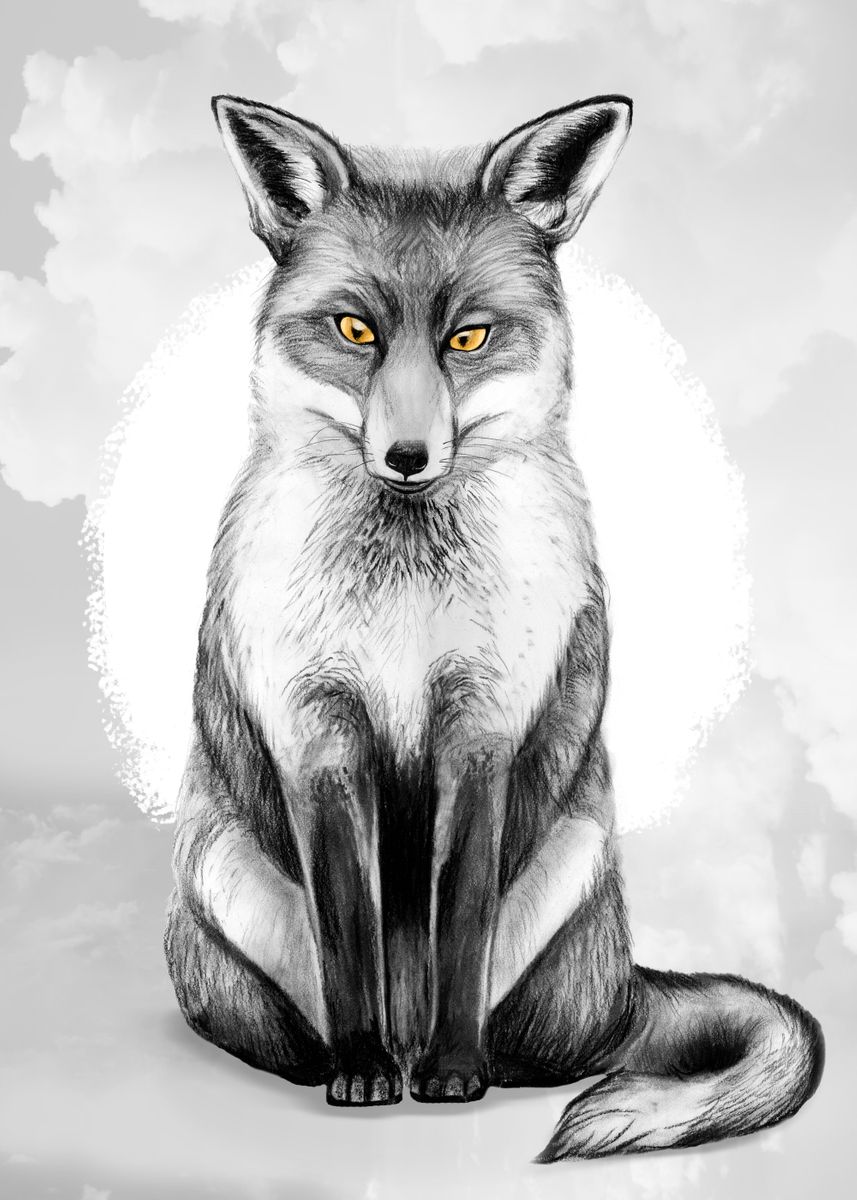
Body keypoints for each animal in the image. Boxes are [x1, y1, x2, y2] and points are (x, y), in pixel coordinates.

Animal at [164, 92, 824, 1160]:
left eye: (468, 338)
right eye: (354, 328)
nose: (406, 456)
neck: (404, 607)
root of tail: (622, 990)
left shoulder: (481, 732)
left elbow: (461, 918)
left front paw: (452, 1072)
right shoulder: (318, 736)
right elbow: (347, 931)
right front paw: (359, 1070)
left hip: (572, 869)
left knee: (541, 1045)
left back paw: (462, 1055)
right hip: (222, 874)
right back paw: (348, 1054)